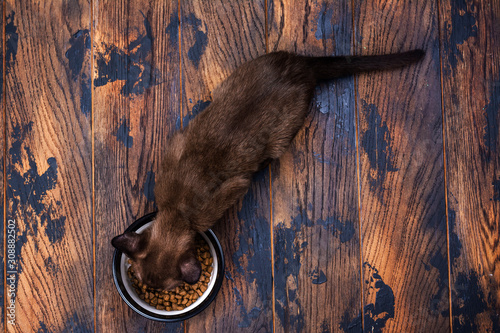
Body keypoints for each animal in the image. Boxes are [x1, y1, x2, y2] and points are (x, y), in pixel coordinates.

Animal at [111, 48, 424, 288]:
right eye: (140, 280)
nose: (148, 290)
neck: (178, 210)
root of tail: (300, 64)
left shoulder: (235, 188)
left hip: (279, 140)